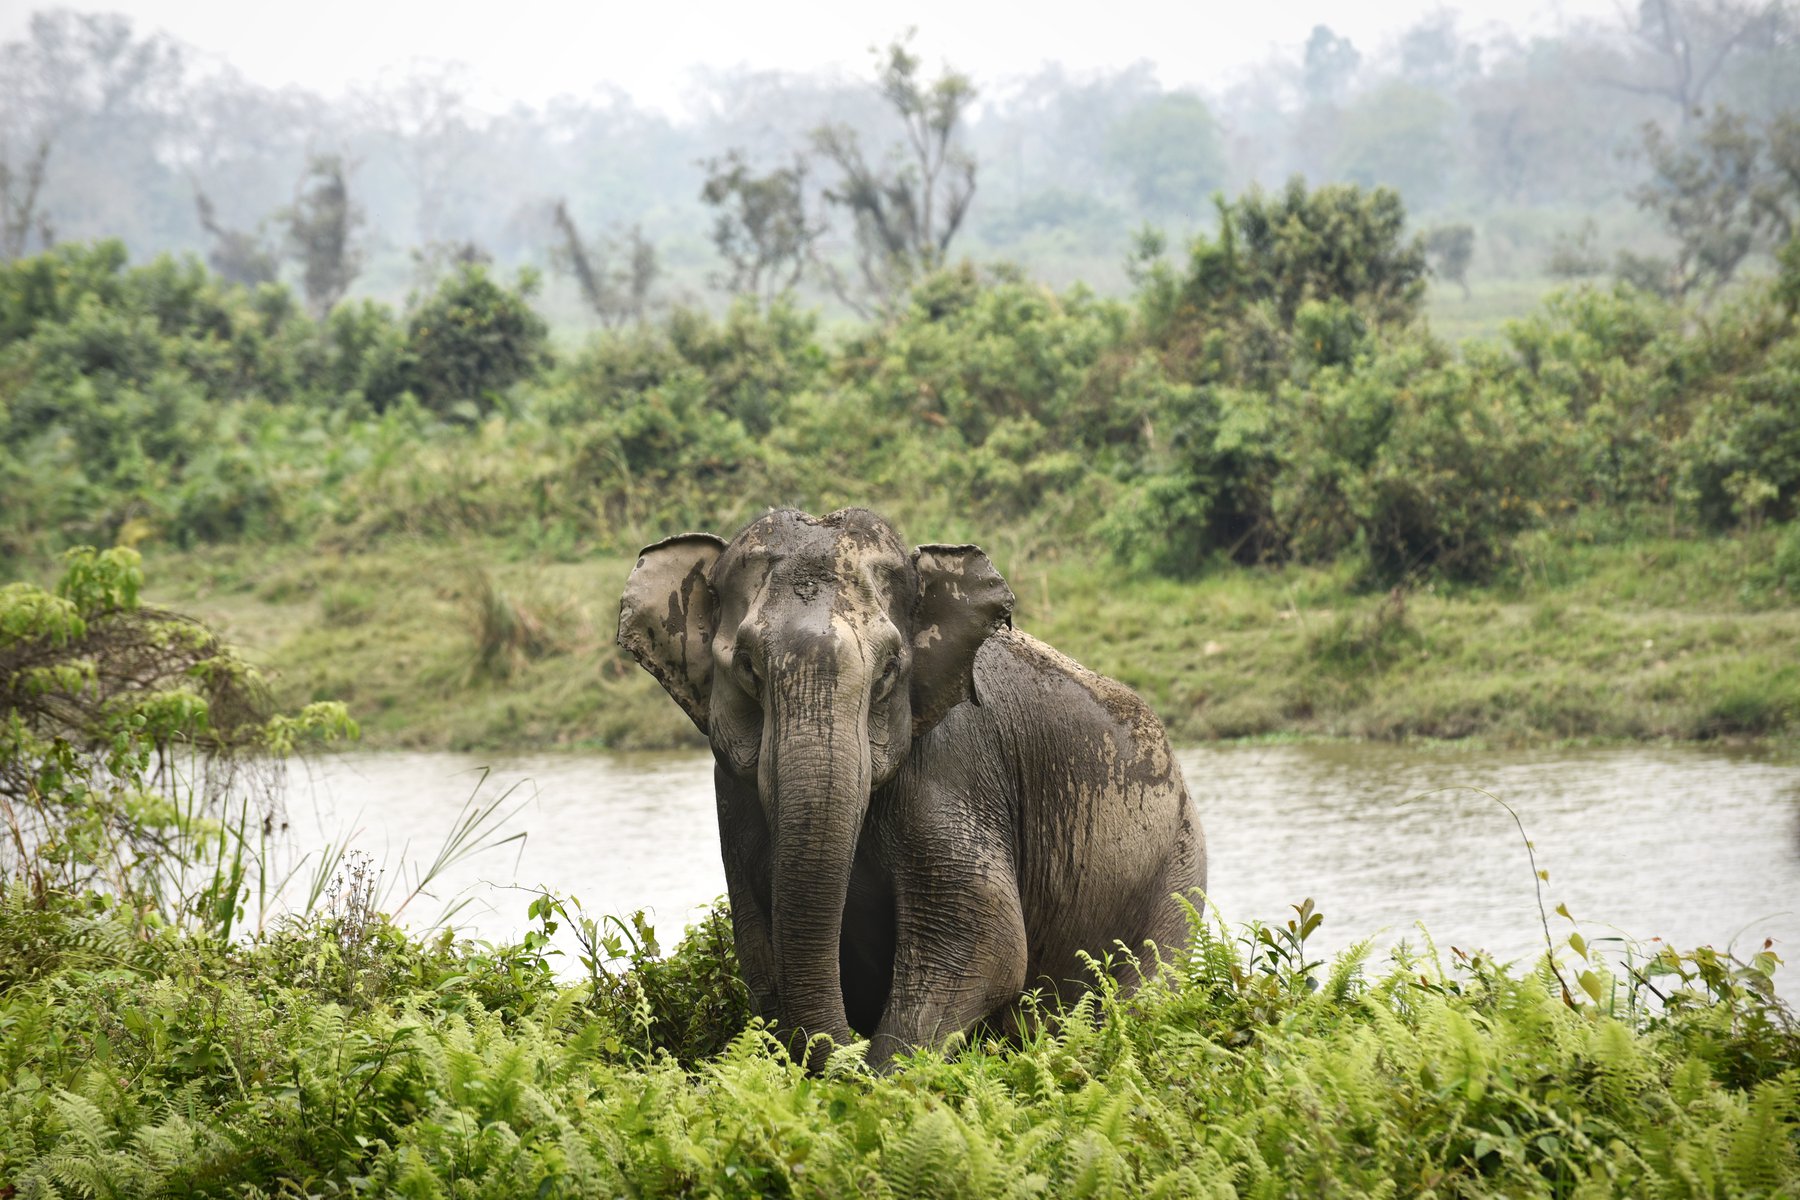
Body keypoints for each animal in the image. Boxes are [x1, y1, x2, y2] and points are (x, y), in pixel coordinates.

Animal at [622, 507, 1209, 1072]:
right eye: (746, 668)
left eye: (888, 671)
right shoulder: (732, 790)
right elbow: (759, 950)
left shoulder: (955, 767)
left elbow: (983, 936)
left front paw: (880, 1079)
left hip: (1175, 879)